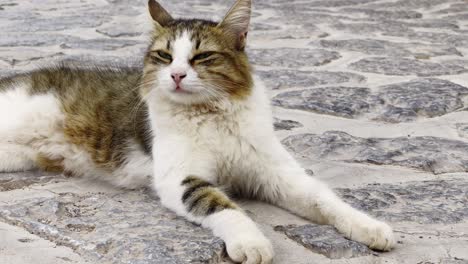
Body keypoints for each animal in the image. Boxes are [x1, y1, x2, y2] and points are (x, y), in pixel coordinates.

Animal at [0, 0, 394, 264]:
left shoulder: (277, 173)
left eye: (202, 57)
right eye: (164, 56)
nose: (176, 75)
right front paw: (252, 242)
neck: (212, 115)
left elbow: (325, 199)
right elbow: (223, 207)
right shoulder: (181, 178)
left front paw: (369, 226)